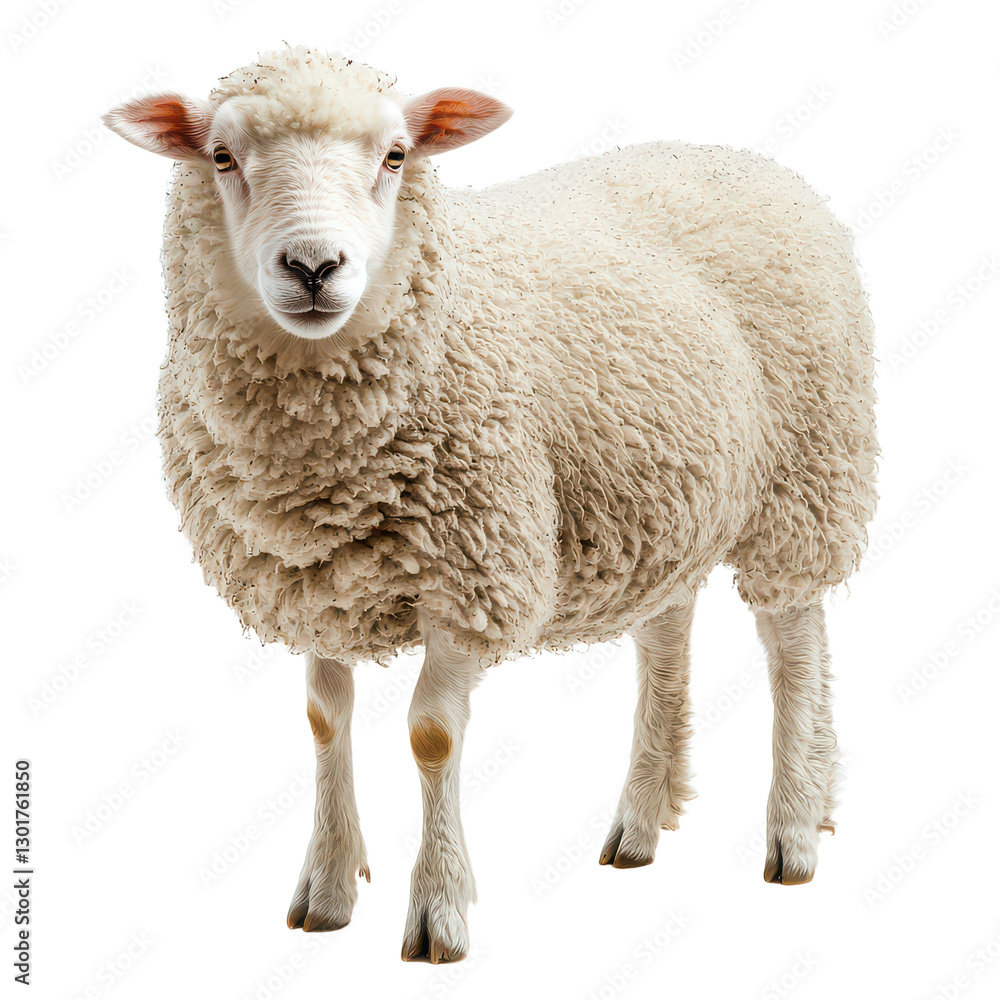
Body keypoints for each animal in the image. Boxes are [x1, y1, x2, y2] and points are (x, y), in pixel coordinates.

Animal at [103, 45, 877, 963]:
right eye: (221, 158)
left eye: (396, 156)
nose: (313, 268)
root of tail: (746, 158)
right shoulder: (309, 579)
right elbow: (324, 719)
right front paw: (326, 891)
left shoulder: (471, 574)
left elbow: (431, 734)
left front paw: (438, 912)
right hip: (667, 492)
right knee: (666, 633)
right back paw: (642, 822)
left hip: (807, 473)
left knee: (792, 641)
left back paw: (793, 829)